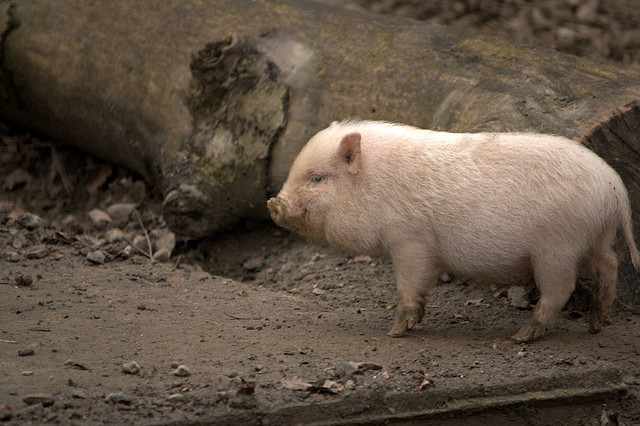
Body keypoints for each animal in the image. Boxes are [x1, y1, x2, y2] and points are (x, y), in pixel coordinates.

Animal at [267, 120, 640, 342]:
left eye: (317, 178)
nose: (274, 203)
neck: (372, 185)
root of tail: (615, 187)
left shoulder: (410, 240)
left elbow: (409, 284)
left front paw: (394, 332)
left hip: (557, 246)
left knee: (562, 288)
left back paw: (521, 335)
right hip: (593, 239)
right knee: (609, 264)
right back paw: (595, 325)